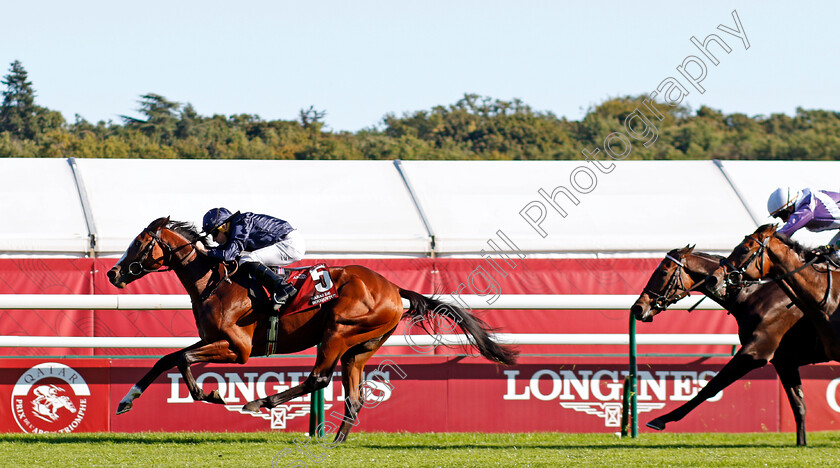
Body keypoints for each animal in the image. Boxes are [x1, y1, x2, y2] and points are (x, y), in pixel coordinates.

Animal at [108, 217, 516, 442]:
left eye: (139, 243)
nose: (113, 273)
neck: (214, 280)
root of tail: (393, 288)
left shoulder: (237, 349)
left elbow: (181, 359)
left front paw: (210, 395)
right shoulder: (213, 339)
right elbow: (167, 359)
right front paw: (127, 400)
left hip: (337, 331)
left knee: (318, 378)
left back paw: (260, 403)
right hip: (359, 348)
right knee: (354, 397)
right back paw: (335, 441)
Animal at [632, 245, 824, 446]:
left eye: (663, 272)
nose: (638, 308)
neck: (753, 295)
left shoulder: (755, 352)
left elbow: (712, 386)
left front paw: (662, 419)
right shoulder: (785, 362)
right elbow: (799, 405)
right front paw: (801, 443)